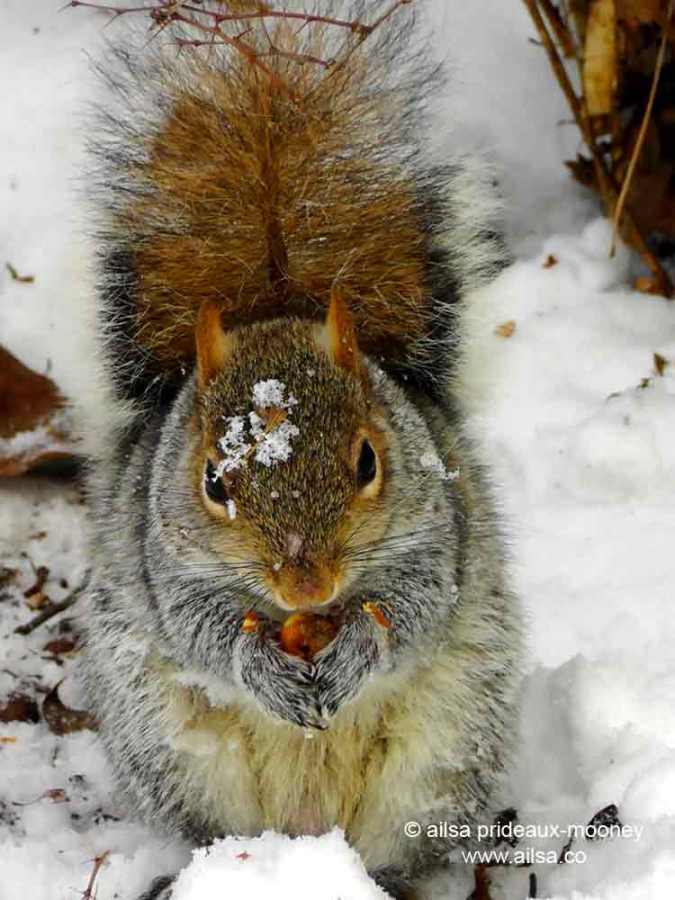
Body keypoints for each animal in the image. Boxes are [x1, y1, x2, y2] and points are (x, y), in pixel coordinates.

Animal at [78, 3, 522, 899]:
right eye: (212, 481)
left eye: (368, 462)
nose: (304, 583)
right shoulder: (162, 562)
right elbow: (200, 628)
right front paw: (255, 663)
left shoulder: (438, 533)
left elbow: (414, 606)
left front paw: (356, 650)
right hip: (178, 758)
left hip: (440, 757)